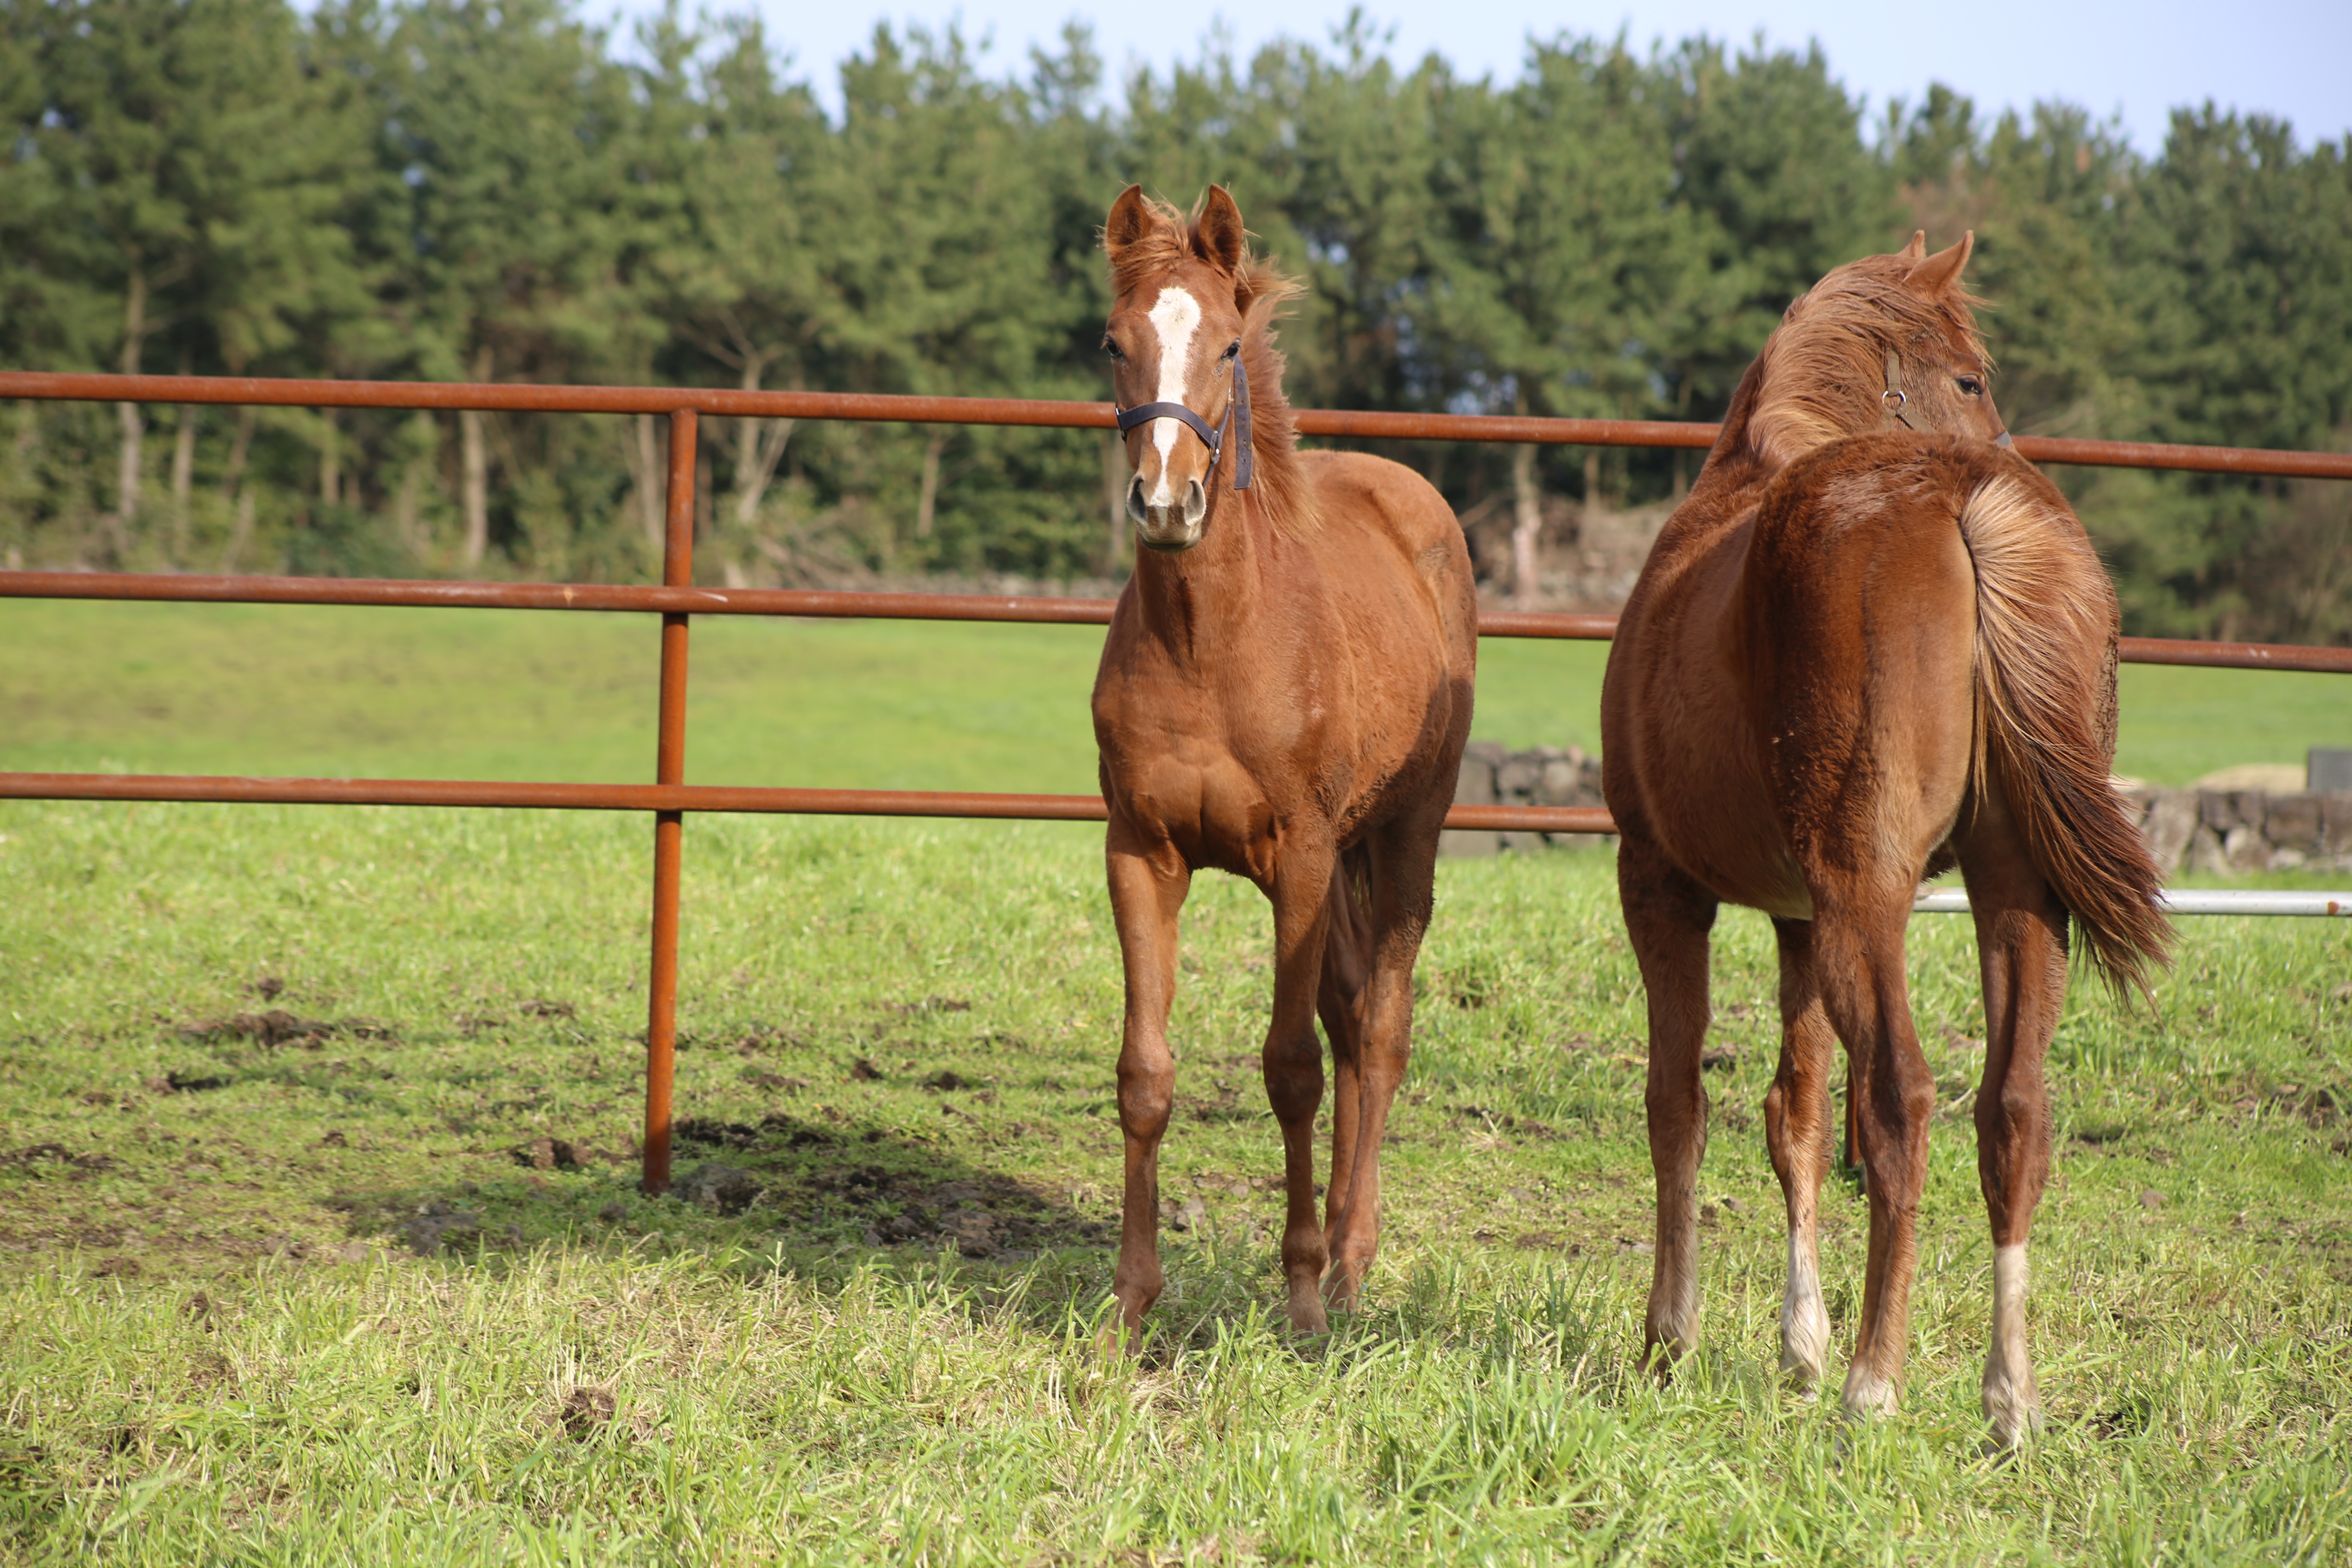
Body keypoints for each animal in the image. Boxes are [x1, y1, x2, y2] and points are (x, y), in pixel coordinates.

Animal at [1087, 184, 1468, 1335]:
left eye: (1224, 343)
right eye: (1111, 342)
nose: (1166, 503)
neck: (1211, 646)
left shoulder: (1298, 855)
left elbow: (1291, 1067)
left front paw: (1299, 1295)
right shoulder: (1140, 853)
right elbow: (1145, 1073)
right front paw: (1131, 1302)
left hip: (1403, 840)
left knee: (1376, 1033)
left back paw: (1349, 1264)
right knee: (1349, 1019)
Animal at [1599, 232, 2164, 1448]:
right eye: (1972, 379)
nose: (1998, 435)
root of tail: (1965, 500)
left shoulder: (1661, 886)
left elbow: (1681, 1106)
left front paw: (1671, 1339)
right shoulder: (1795, 916)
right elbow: (1796, 1114)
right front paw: (1794, 1347)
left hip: (1870, 893)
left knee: (1902, 1097)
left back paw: (1874, 1382)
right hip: (2007, 892)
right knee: (2011, 1113)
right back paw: (2007, 1401)